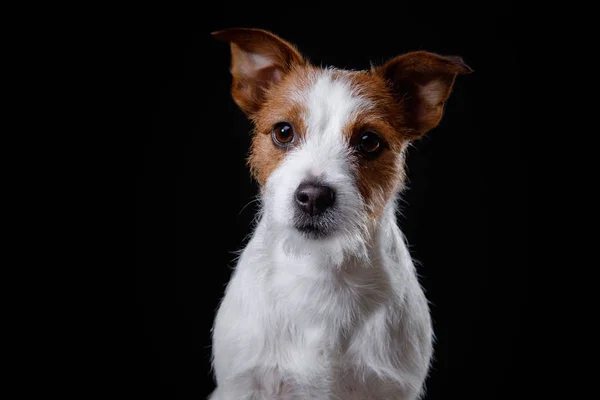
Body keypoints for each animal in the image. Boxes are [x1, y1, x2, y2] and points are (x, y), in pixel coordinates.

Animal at [209, 26, 472, 398]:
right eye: (283, 132)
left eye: (369, 141)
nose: (313, 197)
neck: (320, 272)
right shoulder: (243, 384)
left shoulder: (393, 387)